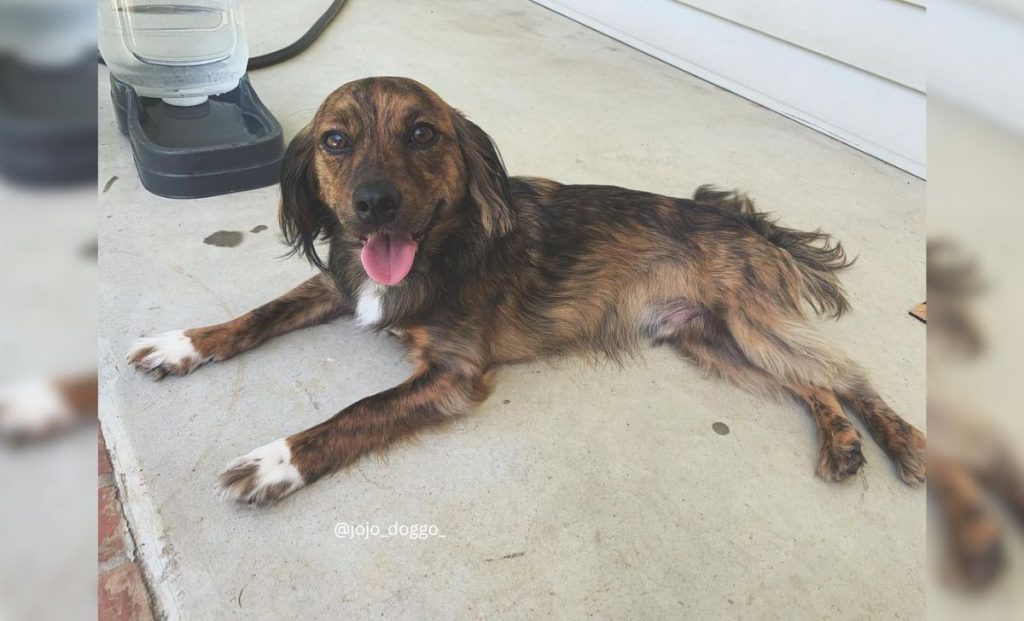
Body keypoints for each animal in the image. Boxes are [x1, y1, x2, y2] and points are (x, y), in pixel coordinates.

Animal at [125, 76, 929, 506]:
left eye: (423, 134)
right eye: (335, 141)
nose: (374, 204)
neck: (437, 249)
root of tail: (740, 218)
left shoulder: (451, 375)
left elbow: (357, 412)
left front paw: (277, 460)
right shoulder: (341, 284)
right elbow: (258, 314)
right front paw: (185, 343)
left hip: (749, 326)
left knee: (849, 375)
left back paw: (902, 440)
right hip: (712, 342)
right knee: (812, 384)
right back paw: (841, 442)